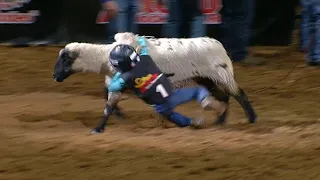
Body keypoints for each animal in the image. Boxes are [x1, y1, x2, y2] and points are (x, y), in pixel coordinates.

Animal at [53, 32, 258, 134]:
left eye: (65, 59)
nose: (55, 77)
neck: (106, 58)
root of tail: (219, 44)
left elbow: (108, 106)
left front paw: (98, 128)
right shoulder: (114, 83)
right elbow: (108, 102)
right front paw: (115, 118)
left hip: (222, 75)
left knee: (239, 94)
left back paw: (251, 119)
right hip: (208, 79)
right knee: (225, 97)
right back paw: (219, 121)